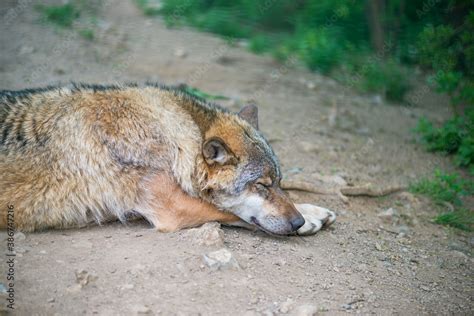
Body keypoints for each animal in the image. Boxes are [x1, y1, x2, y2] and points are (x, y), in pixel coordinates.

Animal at [0, 84, 336, 235]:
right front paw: (310, 221)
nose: (297, 222)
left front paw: (311, 211)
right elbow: (229, 213)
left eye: (278, 182)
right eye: (261, 186)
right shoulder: (172, 208)